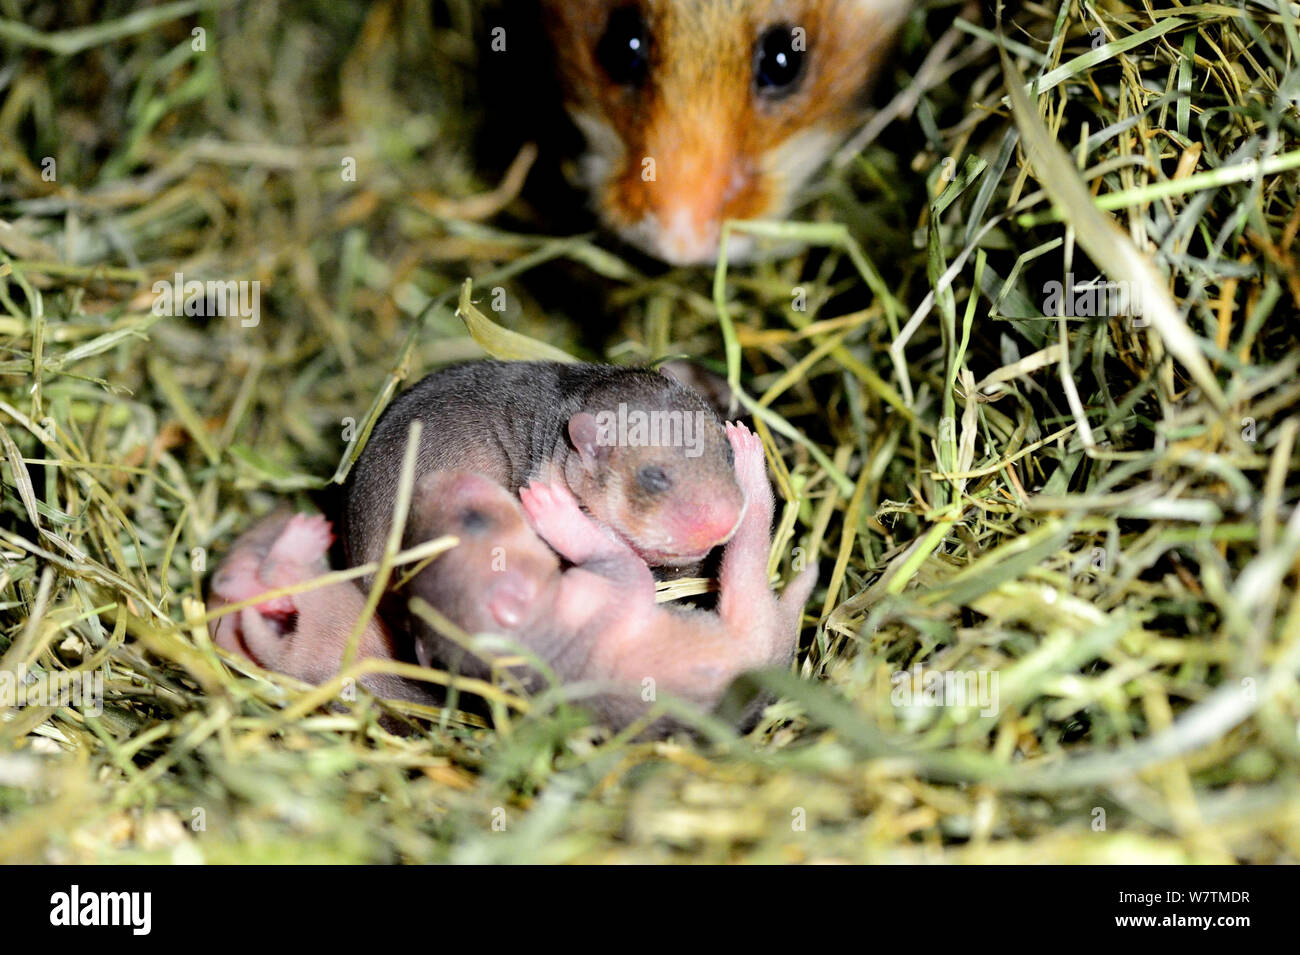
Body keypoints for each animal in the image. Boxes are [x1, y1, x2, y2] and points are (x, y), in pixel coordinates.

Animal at [400, 422, 817, 728]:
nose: (431, 480)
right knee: (749, 543)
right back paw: (749, 463)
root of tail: (785, 647)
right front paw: (554, 509)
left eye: (414, 541)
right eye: (475, 520)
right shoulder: (605, 596)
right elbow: (627, 564)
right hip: (750, 613)